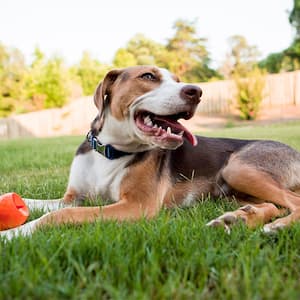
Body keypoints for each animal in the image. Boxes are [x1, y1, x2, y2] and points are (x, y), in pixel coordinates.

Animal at [1, 65, 300, 239]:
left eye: (178, 80)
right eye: (148, 77)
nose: (197, 91)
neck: (109, 151)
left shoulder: (137, 206)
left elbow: (59, 216)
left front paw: (15, 234)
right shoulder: (73, 198)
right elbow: (36, 203)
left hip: (237, 168)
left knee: (292, 203)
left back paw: (278, 226)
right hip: (232, 191)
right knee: (273, 205)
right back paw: (236, 220)